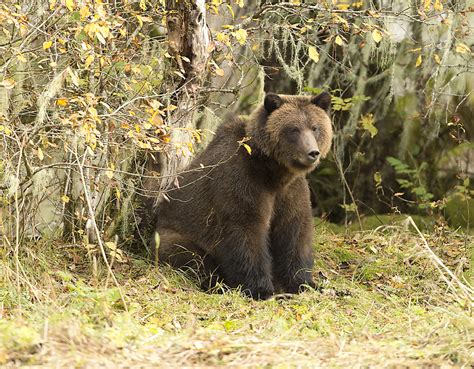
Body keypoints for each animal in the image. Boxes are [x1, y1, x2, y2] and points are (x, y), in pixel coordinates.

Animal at [154, 92, 332, 300]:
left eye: (315, 127)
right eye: (293, 129)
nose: (312, 152)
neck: (273, 172)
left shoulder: (291, 191)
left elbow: (294, 231)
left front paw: (306, 284)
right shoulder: (241, 180)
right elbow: (246, 229)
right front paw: (261, 289)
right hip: (174, 233)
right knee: (192, 257)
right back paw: (218, 284)